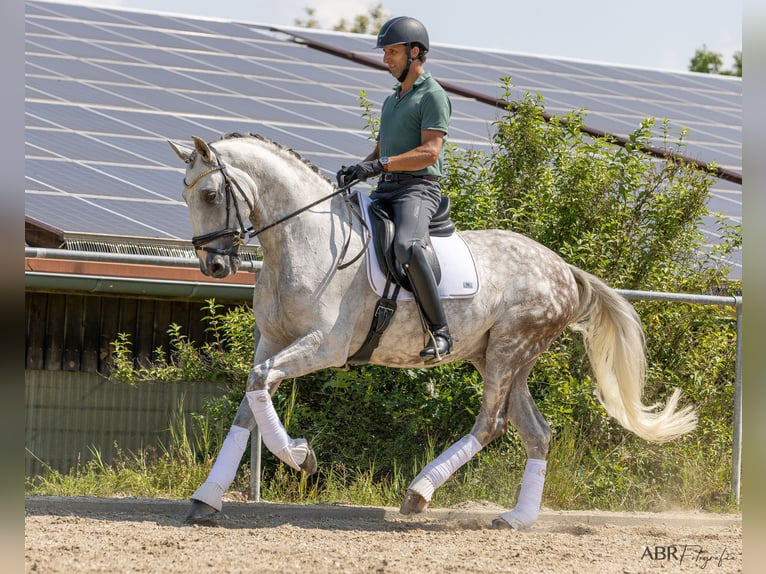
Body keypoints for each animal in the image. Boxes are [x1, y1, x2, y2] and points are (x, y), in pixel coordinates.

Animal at [168, 135, 696, 532]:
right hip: (503, 356)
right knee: (536, 432)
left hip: (508, 350)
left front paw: (301, 457)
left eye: (211, 195)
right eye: (186, 195)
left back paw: (419, 493)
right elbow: (249, 402)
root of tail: (564, 269)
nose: (214, 267)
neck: (303, 242)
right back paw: (516, 519)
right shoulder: (272, 342)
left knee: (490, 425)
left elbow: (260, 383)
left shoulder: (324, 347)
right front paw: (206, 498)